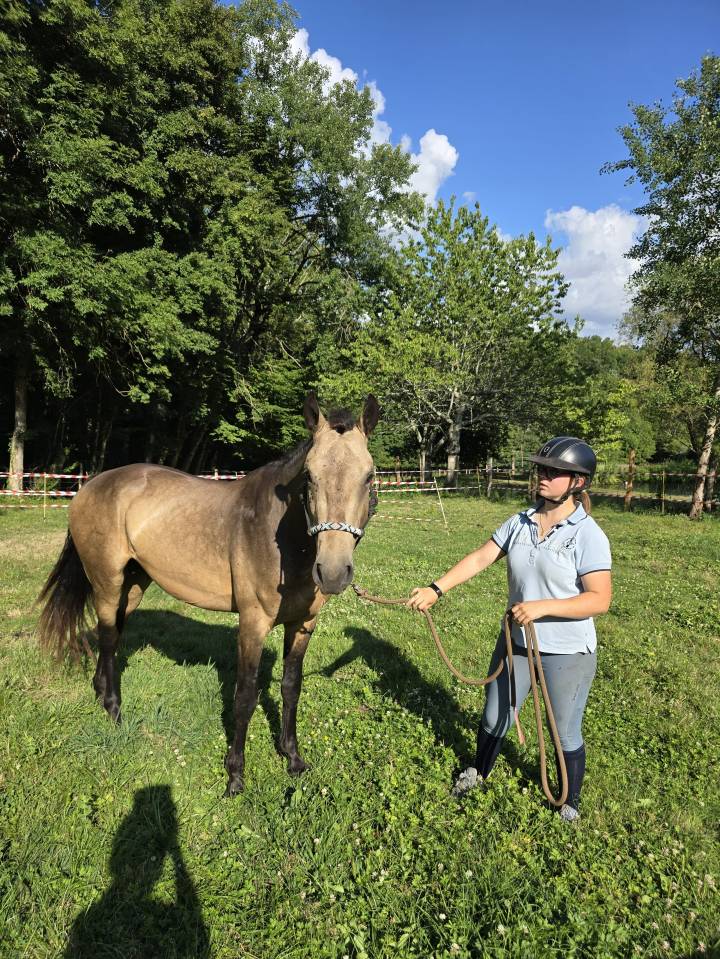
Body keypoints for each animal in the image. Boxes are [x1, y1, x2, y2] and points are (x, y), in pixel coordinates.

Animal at [38, 392, 379, 795]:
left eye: (369, 476)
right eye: (309, 476)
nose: (333, 572)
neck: (279, 536)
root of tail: (89, 486)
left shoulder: (303, 624)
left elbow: (291, 687)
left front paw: (292, 758)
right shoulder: (252, 624)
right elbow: (244, 696)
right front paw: (235, 776)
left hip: (133, 585)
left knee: (115, 633)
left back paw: (101, 692)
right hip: (107, 581)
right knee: (107, 636)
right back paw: (113, 708)